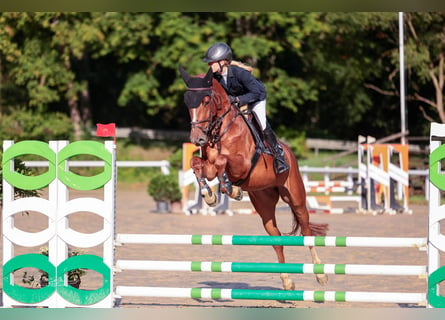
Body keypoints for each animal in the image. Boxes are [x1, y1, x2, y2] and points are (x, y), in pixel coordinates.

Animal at [179, 65, 328, 290]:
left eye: (205, 101)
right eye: (187, 102)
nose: (197, 139)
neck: (220, 130)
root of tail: (289, 153)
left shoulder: (241, 165)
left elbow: (223, 161)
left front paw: (231, 189)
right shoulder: (209, 167)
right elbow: (196, 164)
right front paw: (210, 195)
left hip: (295, 197)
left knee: (306, 231)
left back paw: (320, 274)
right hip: (263, 203)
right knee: (276, 239)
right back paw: (287, 280)